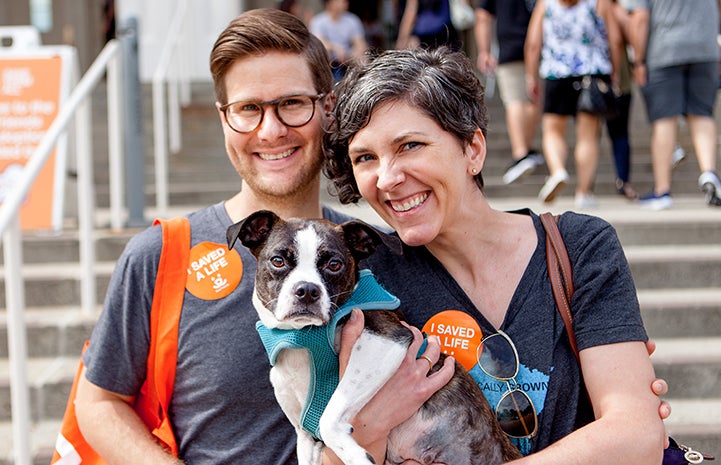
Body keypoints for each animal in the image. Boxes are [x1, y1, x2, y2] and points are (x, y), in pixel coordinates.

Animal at [228, 211, 520, 464]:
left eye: (334, 264)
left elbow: (328, 417)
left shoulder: (386, 340)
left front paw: (355, 455)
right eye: (278, 260)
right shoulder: (305, 436)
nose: (307, 290)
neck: (304, 338)